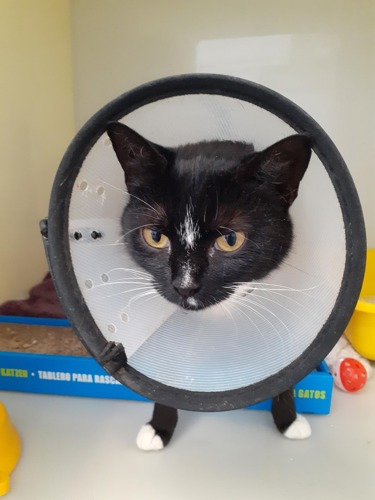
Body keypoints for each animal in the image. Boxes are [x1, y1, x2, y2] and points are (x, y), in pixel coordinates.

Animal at [106, 120, 314, 450]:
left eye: (231, 240)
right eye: (155, 236)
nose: (185, 286)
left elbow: (289, 370)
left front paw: (289, 421)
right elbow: (164, 382)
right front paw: (159, 426)